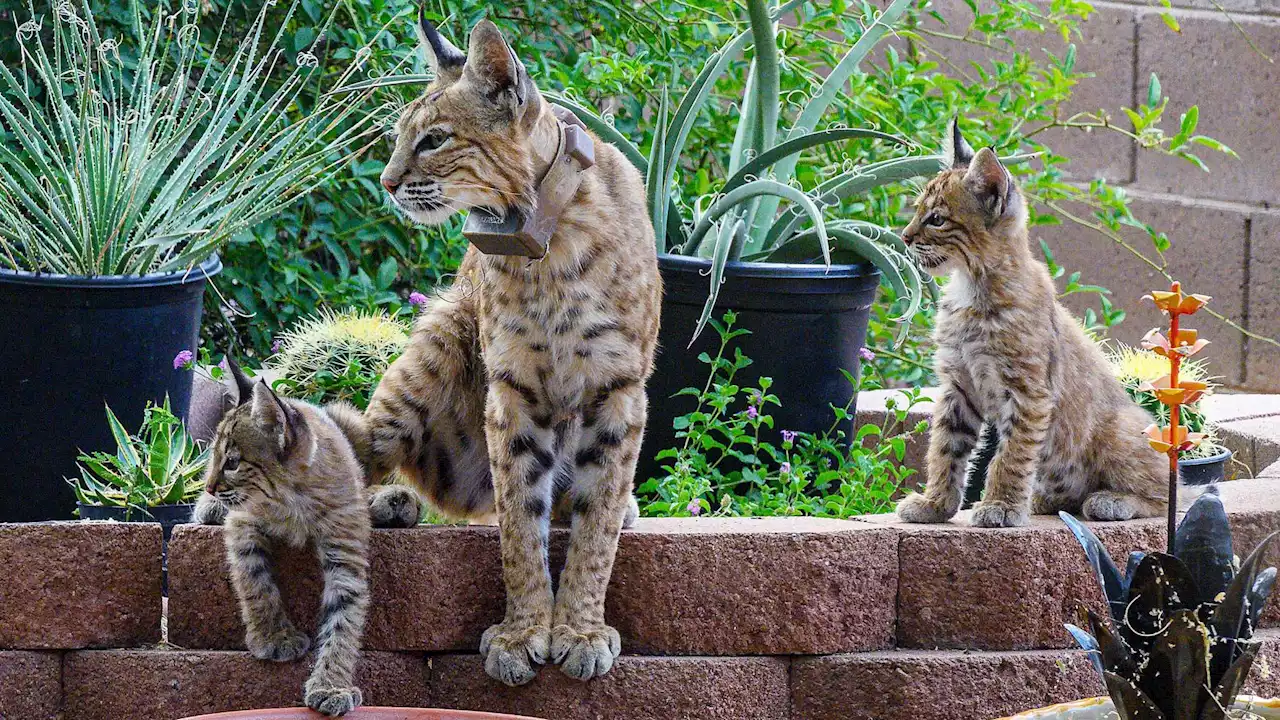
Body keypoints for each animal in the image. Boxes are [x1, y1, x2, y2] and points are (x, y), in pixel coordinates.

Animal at [896, 119, 1167, 527]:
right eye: (916, 212)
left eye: (937, 220)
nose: (904, 237)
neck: (972, 286)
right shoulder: (958, 385)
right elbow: (944, 450)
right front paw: (935, 505)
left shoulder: (1028, 392)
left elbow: (1010, 454)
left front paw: (1000, 506)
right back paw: (1048, 499)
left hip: (1120, 427)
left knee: (1173, 492)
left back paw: (1112, 500)